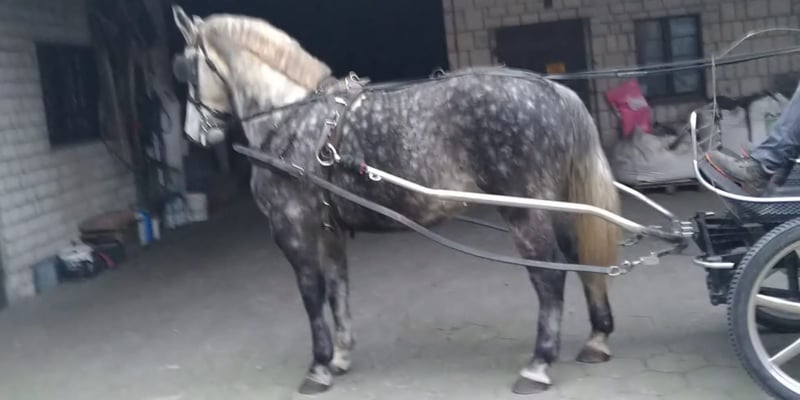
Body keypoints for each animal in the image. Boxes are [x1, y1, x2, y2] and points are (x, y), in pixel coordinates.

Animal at [169, 6, 621, 395]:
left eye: (187, 69)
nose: (194, 134)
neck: (292, 119)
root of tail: (553, 90)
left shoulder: (292, 226)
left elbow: (312, 293)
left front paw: (318, 367)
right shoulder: (329, 229)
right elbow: (338, 288)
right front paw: (340, 357)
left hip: (526, 212)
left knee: (550, 276)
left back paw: (538, 365)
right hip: (557, 207)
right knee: (580, 257)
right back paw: (597, 338)